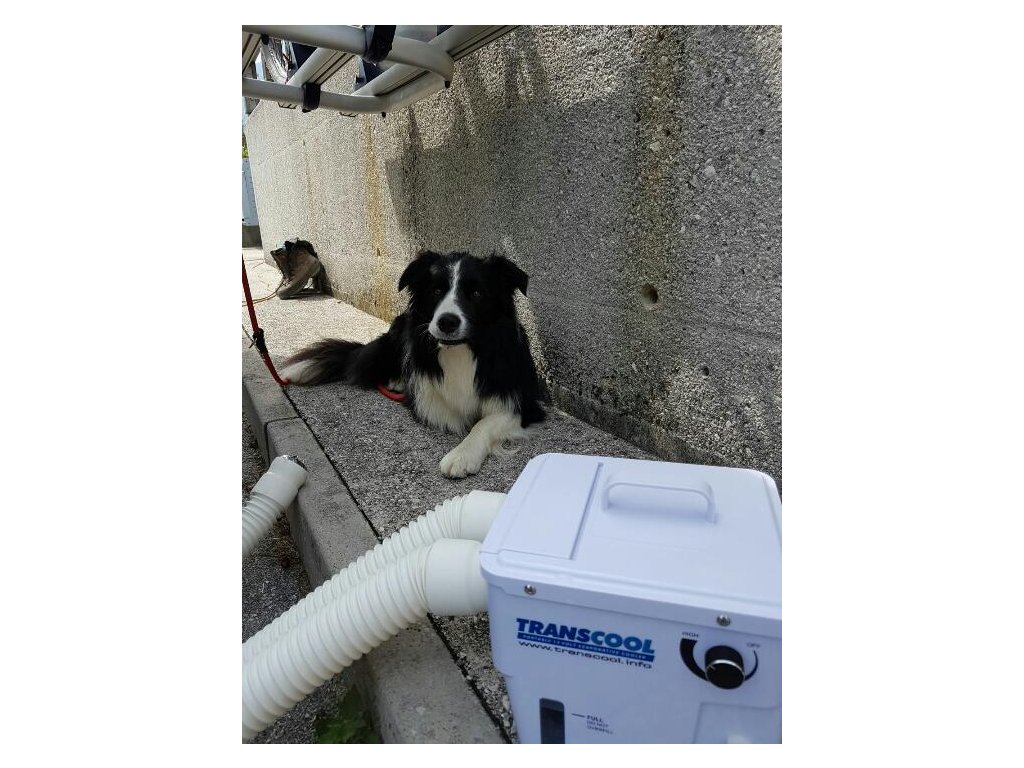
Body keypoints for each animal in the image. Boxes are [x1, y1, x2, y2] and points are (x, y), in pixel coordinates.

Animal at [280, 251, 545, 478]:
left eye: (477, 293)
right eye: (436, 290)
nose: (447, 322)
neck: (462, 350)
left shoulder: (524, 403)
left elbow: (483, 423)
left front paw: (462, 455)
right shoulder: (429, 401)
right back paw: (397, 381)